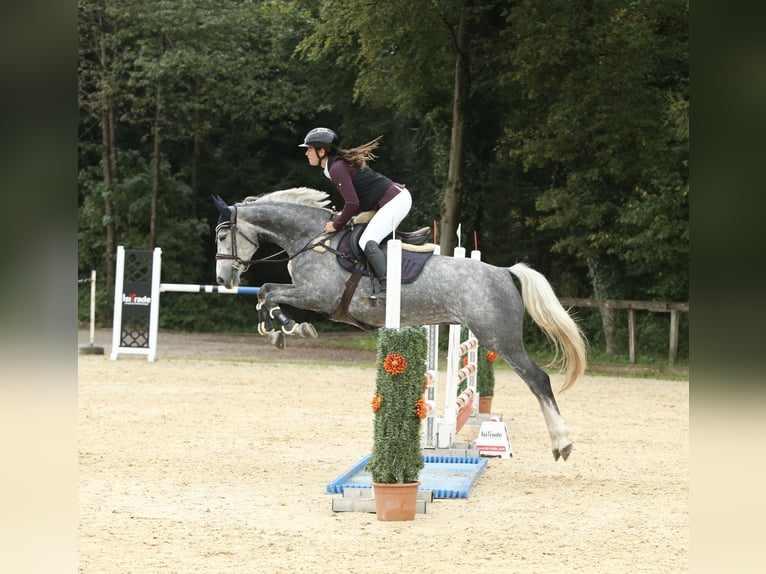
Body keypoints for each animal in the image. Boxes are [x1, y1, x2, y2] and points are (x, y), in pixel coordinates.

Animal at [213, 189, 592, 464]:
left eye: (222, 236)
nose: (223, 280)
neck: (311, 239)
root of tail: (502, 272)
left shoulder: (319, 296)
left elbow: (268, 292)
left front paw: (290, 327)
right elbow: (266, 293)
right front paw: (277, 330)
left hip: (500, 337)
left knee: (538, 380)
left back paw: (563, 443)